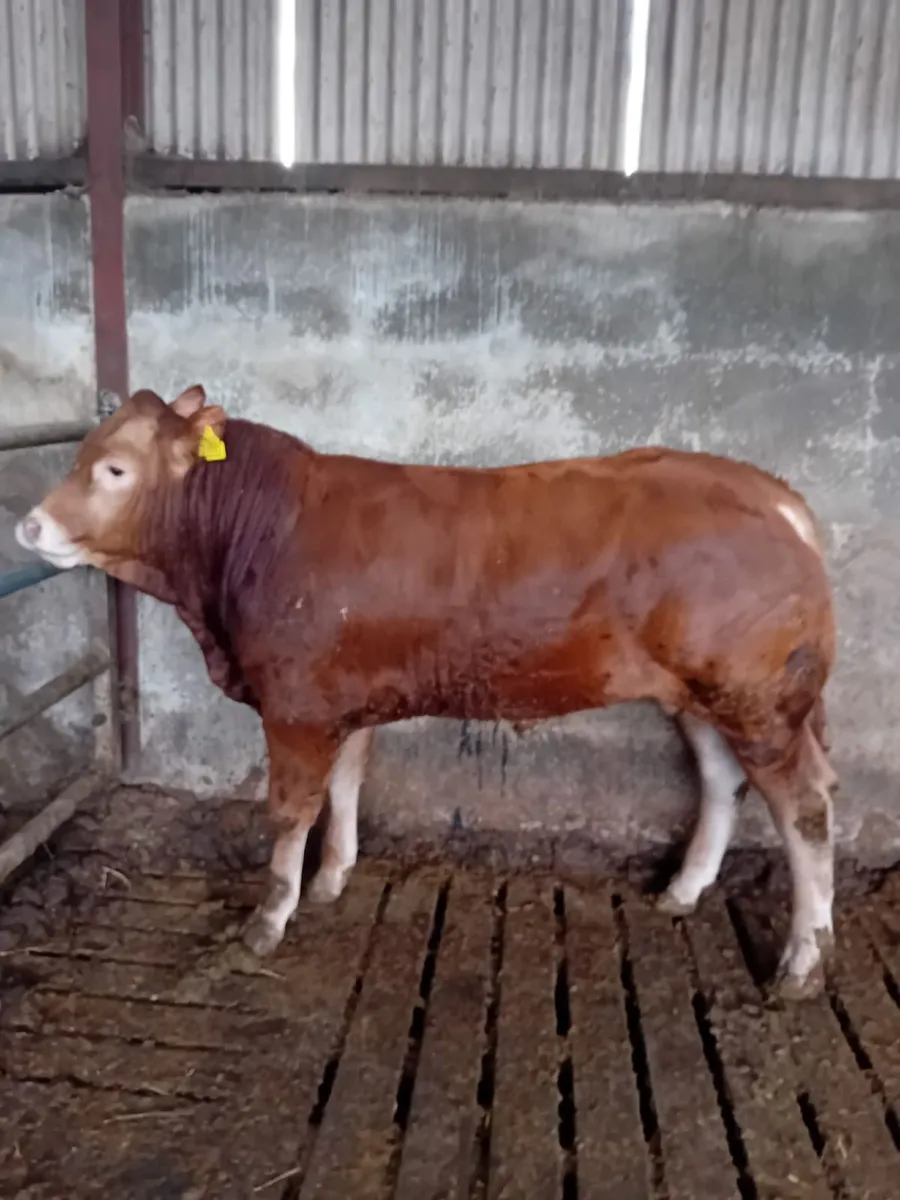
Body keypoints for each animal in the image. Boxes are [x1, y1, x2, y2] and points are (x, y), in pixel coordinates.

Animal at [15, 385, 838, 1000]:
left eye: (114, 470)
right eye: (81, 454)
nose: (29, 526)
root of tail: (768, 493)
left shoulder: (294, 705)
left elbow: (290, 810)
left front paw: (269, 918)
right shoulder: (341, 697)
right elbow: (347, 783)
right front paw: (332, 877)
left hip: (757, 696)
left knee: (805, 806)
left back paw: (801, 961)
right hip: (703, 693)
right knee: (723, 779)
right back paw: (684, 890)